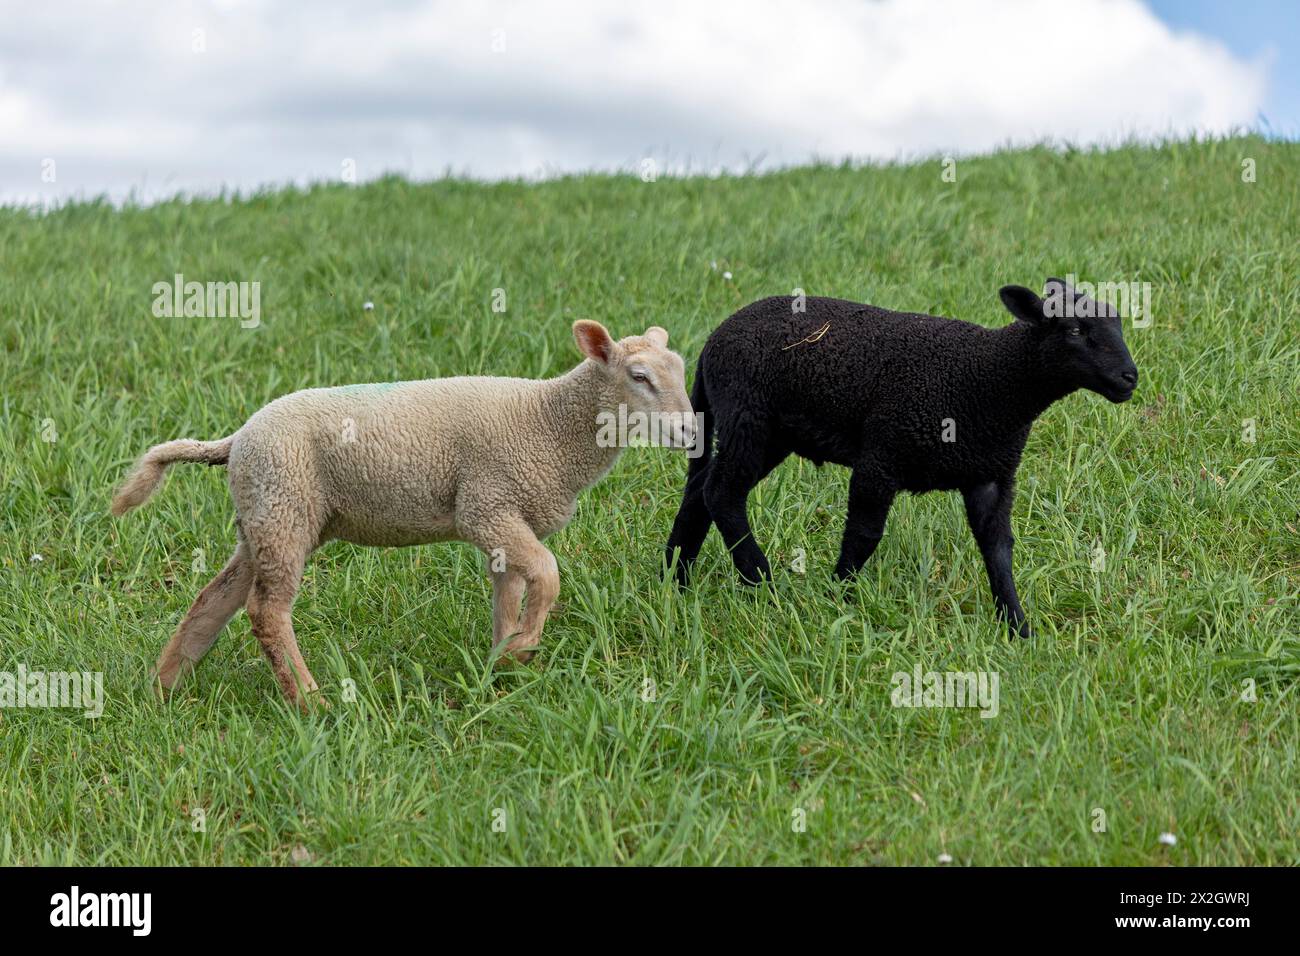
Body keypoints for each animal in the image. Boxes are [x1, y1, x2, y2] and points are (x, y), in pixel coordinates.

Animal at [111, 325, 696, 707]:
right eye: (638, 376)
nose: (692, 431)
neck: (550, 421)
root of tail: (237, 438)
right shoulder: (486, 505)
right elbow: (548, 574)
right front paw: (524, 647)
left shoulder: (504, 517)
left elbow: (508, 593)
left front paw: (501, 661)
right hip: (284, 507)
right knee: (267, 611)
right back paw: (310, 701)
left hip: (264, 514)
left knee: (216, 598)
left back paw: (164, 689)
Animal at [665, 277, 1144, 634]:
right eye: (1075, 330)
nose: (1129, 377)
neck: (989, 381)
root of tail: (712, 343)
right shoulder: (881, 457)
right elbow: (863, 535)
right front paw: (840, 597)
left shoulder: (990, 476)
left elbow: (998, 549)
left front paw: (1018, 627)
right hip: (750, 417)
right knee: (722, 492)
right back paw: (759, 579)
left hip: (765, 431)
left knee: (699, 492)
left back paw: (675, 579)